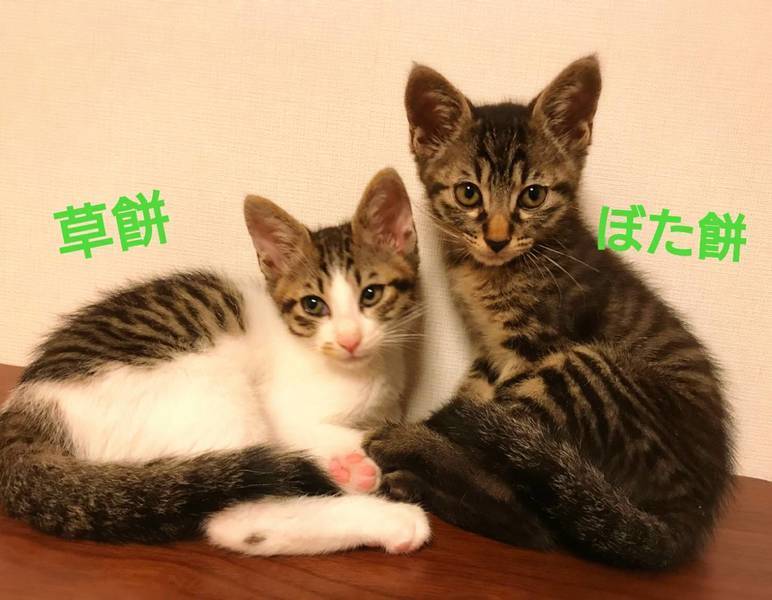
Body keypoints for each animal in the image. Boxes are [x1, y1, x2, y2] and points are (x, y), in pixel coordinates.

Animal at [0, 167, 430, 556]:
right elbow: (315, 429)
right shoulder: (280, 408)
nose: (349, 339)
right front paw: (356, 455)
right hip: (204, 386)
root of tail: (27, 409)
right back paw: (388, 514)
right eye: (313, 304)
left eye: (371, 294)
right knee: (241, 519)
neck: (364, 374)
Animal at [365, 56, 733, 569]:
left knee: (535, 510)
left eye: (533, 195)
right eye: (468, 194)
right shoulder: (491, 352)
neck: (493, 271)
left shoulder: (532, 345)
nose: (497, 238)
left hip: (584, 370)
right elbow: (476, 399)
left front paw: (425, 430)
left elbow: (488, 426)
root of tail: (693, 513)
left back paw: (408, 447)